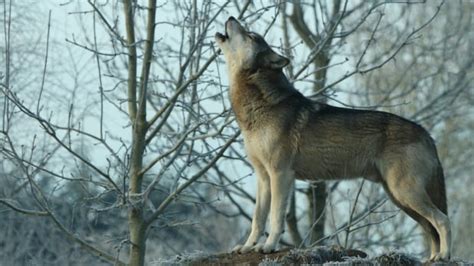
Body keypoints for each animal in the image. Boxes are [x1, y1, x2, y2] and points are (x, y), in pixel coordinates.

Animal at [216, 17, 452, 262]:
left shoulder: (281, 175)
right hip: (401, 198)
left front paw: (269, 246)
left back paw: (443, 255)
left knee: (443, 219)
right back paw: (433, 257)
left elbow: (275, 216)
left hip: (405, 193)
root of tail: (427, 134)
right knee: (431, 228)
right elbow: (257, 218)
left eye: (252, 36)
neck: (260, 107)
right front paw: (247, 247)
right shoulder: (263, 177)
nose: (231, 18)